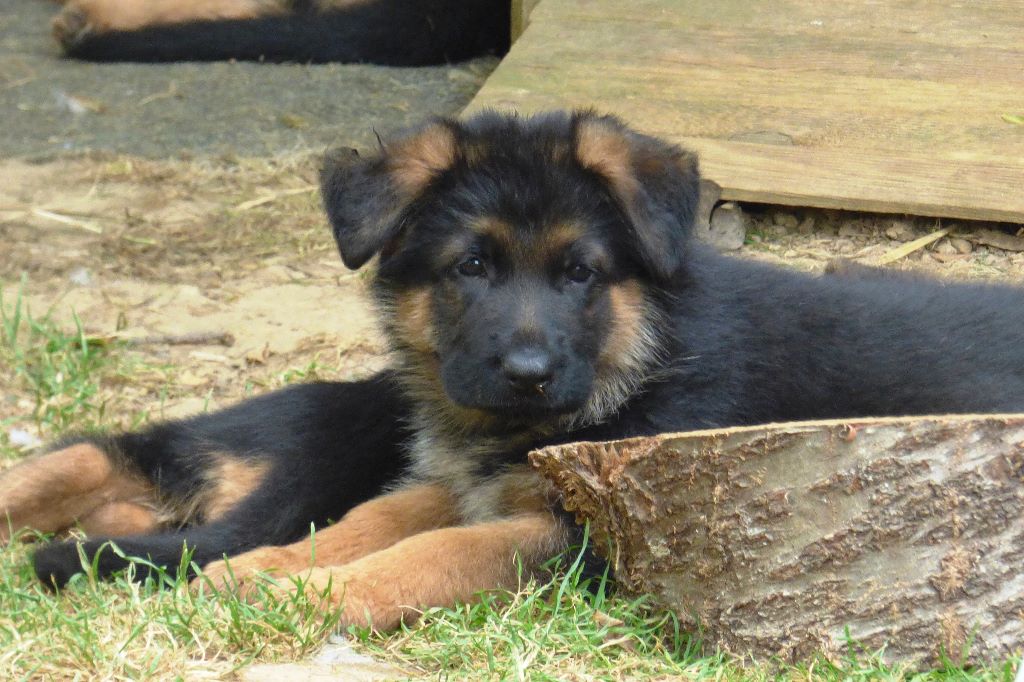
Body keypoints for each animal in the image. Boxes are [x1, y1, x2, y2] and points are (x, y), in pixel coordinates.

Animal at [2, 110, 1024, 626]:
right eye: (471, 268)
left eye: (580, 272)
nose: (528, 370)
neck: (642, 355)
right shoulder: (468, 480)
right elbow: (375, 518)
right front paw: (270, 572)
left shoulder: (582, 530)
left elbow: (435, 554)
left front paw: (315, 594)